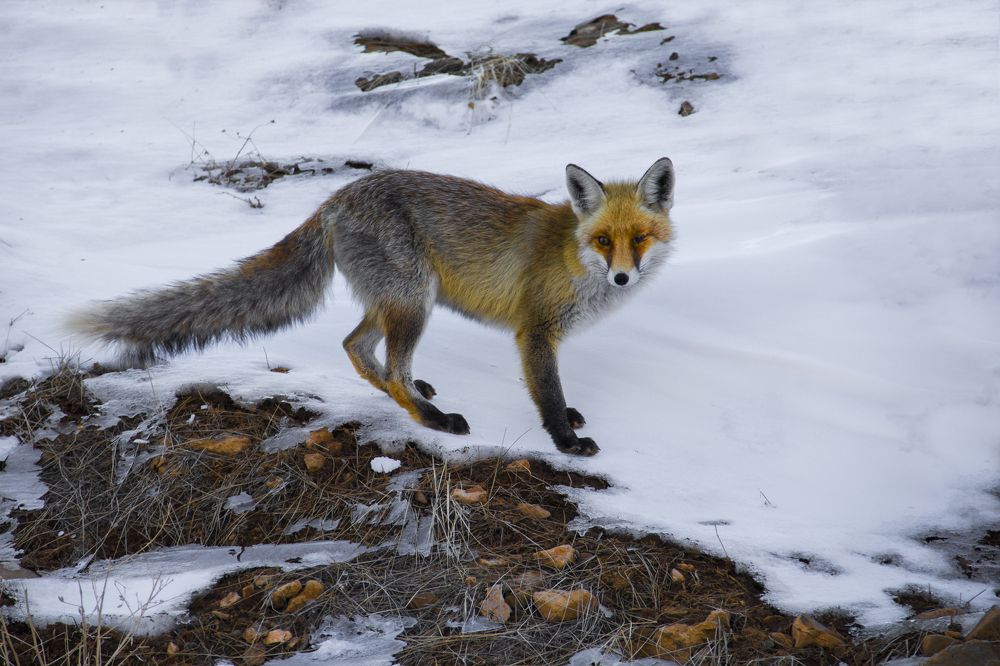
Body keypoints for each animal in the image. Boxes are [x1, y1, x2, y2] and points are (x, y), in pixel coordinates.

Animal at [71, 158, 675, 456]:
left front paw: (569, 422)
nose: (623, 276)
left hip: (394, 300)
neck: (573, 256)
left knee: (357, 347)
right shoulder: (535, 332)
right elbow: (547, 393)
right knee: (390, 368)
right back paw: (431, 417)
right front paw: (566, 442)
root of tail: (336, 198)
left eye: (639, 239)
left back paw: (405, 391)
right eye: (604, 241)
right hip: (413, 301)